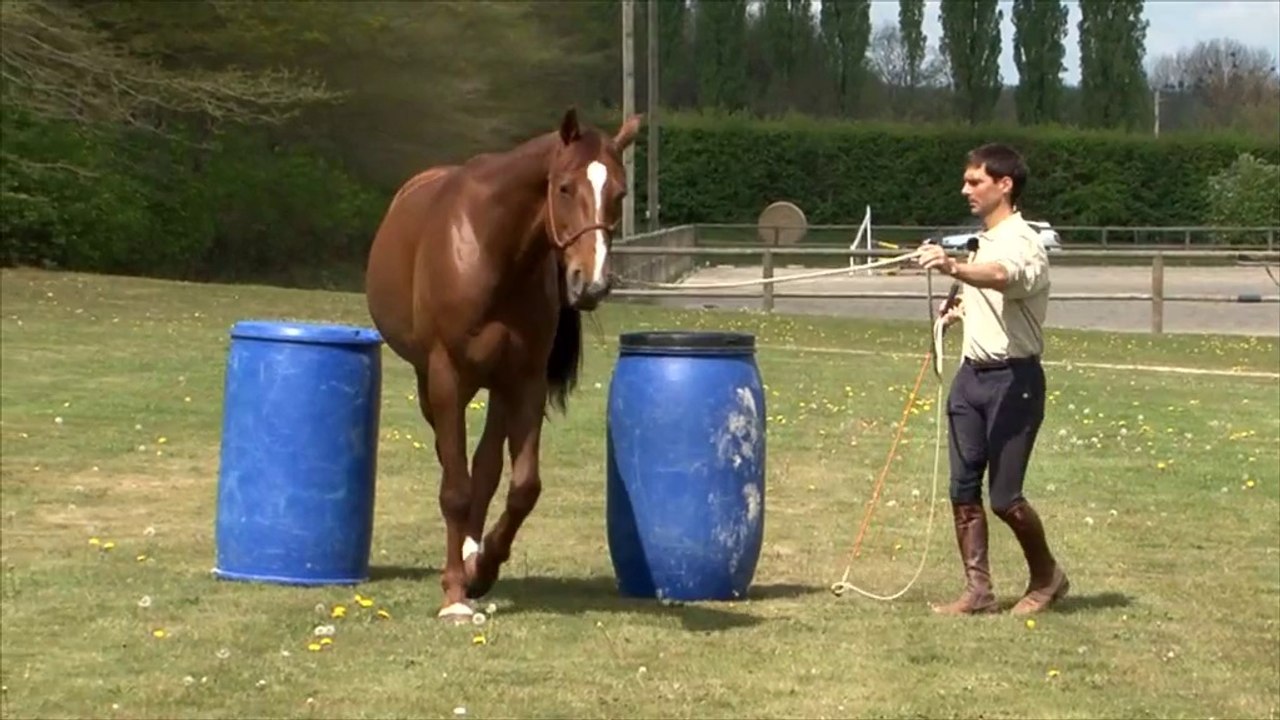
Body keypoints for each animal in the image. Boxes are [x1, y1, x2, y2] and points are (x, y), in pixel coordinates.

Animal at [364, 108, 642, 623]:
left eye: (620, 193)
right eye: (564, 188)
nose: (591, 284)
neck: (492, 248)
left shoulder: (525, 380)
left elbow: (521, 485)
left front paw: (483, 567)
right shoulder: (447, 376)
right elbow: (455, 488)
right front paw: (455, 592)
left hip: (499, 385)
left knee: (486, 465)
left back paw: (474, 552)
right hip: (432, 383)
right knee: (455, 463)